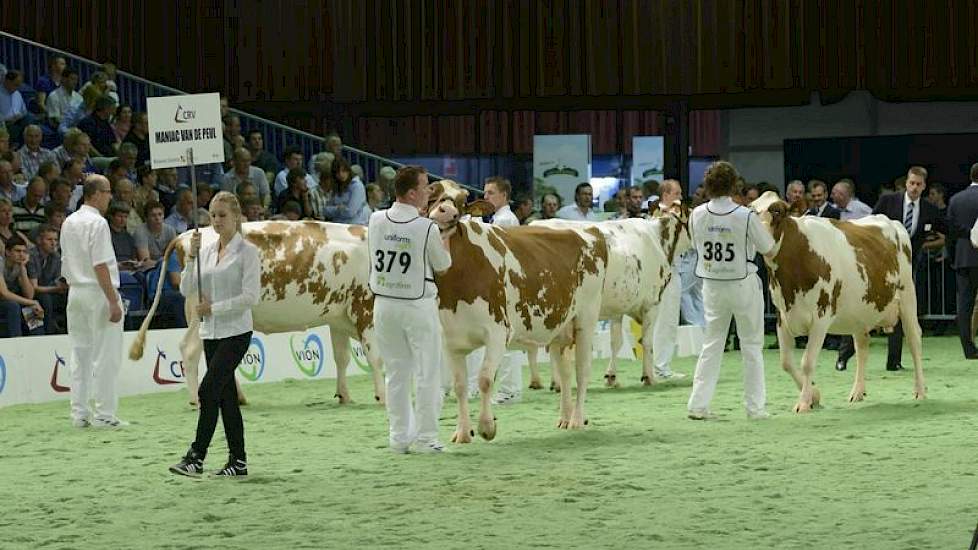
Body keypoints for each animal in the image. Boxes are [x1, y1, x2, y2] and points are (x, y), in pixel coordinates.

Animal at [129, 222, 386, 408]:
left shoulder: (338, 317)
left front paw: (344, 395)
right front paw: (382, 397)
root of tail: (186, 236)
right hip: (202, 312)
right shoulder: (365, 307)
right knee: (189, 349)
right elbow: (376, 357)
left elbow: (342, 358)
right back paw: (196, 400)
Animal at [748, 192, 924, 412]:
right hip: (860, 313)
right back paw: (857, 392)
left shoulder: (821, 317)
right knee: (862, 348)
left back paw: (920, 391)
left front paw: (804, 402)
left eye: (777, 210)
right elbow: (786, 362)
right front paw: (814, 396)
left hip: (908, 298)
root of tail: (891, 222)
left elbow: (807, 362)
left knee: (914, 341)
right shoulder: (782, 316)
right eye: (751, 209)